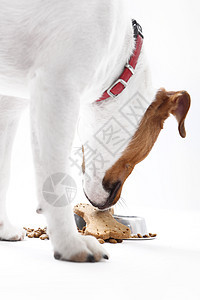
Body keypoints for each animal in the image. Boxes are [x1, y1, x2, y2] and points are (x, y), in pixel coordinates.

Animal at [0, 0, 191, 262]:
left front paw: (4, 228)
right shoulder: (57, 87)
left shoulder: (10, 105)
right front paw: (70, 243)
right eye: (133, 160)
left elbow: (4, 172)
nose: (107, 204)